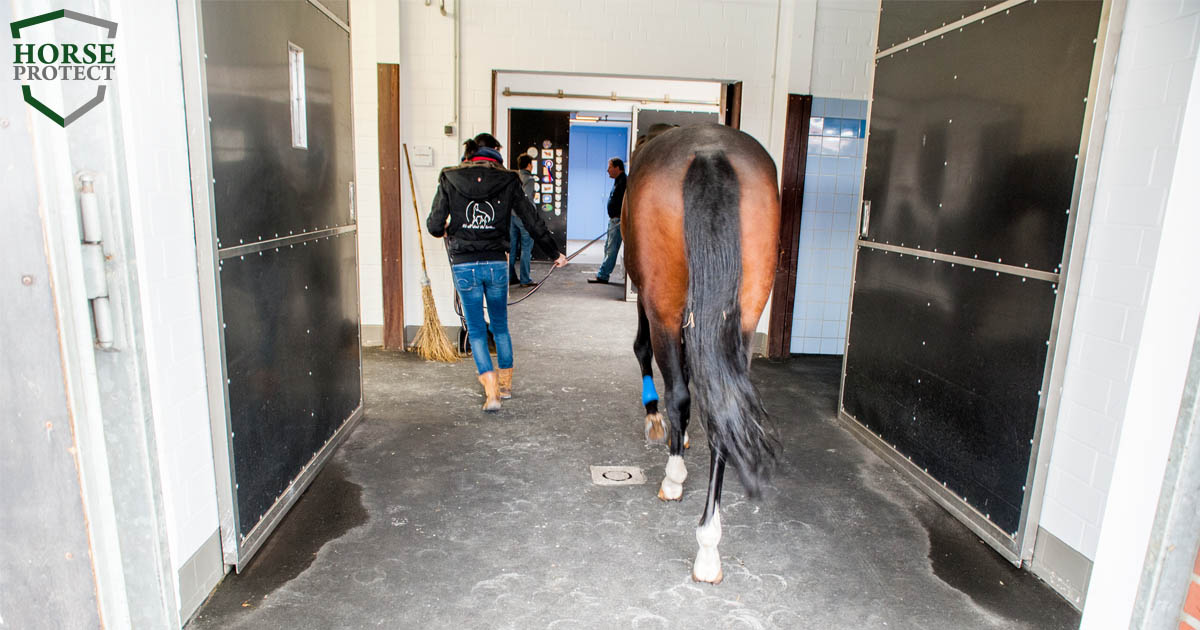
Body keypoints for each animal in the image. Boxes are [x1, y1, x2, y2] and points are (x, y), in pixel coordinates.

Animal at [624, 120, 782, 583]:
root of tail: (710, 151)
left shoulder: (650, 306)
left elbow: (646, 354)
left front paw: (656, 421)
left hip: (663, 305)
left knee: (679, 391)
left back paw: (674, 479)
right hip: (743, 316)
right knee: (721, 406)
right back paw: (710, 541)